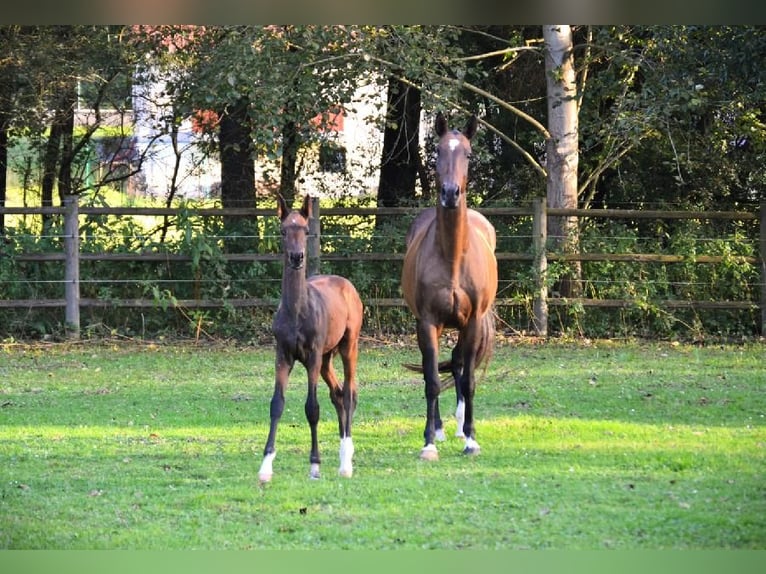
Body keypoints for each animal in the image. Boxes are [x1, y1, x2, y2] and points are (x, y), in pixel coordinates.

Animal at [260, 196, 364, 484]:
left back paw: (346, 460)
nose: (297, 257)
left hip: (347, 347)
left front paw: (315, 465)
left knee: (349, 393)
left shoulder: (313, 356)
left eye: (306, 230)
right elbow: (276, 404)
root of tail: (347, 285)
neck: (297, 311)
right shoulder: (283, 356)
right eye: (283, 230)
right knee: (338, 393)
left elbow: (312, 408)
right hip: (327, 359)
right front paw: (265, 467)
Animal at [400, 113, 500, 464]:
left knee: (458, 364)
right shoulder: (428, 322)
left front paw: (471, 439)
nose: (450, 193)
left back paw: (459, 427)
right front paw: (429, 442)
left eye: (468, 154)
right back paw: (442, 429)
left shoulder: (472, 323)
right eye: (438, 152)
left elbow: (468, 380)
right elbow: (431, 379)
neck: (453, 257)